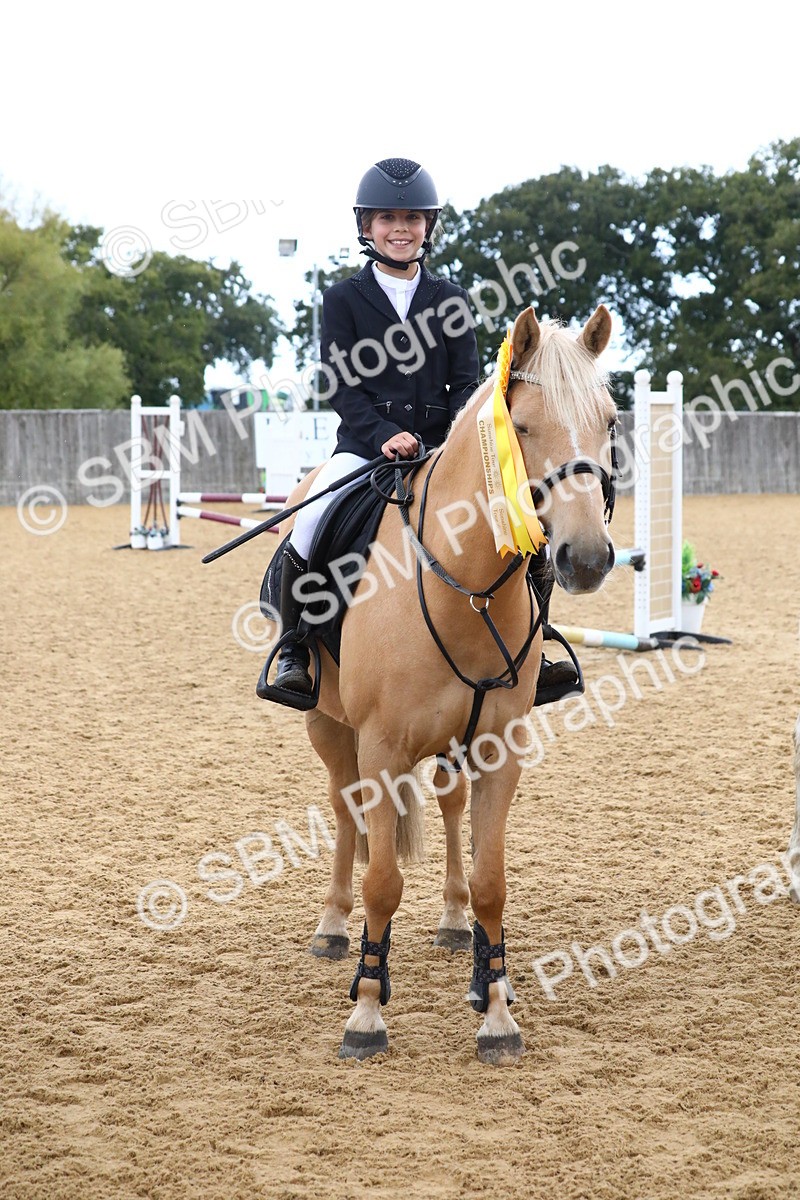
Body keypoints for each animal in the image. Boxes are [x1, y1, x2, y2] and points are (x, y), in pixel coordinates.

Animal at [273, 304, 618, 1064]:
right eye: (523, 428)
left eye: (609, 420)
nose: (585, 558)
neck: (468, 584)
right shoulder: (378, 746)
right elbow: (382, 881)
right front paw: (367, 1011)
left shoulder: (499, 746)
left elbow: (492, 882)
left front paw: (496, 1011)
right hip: (327, 725)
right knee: (344, 809)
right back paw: (332, 926)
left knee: (451, 806)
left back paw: (458, 926)